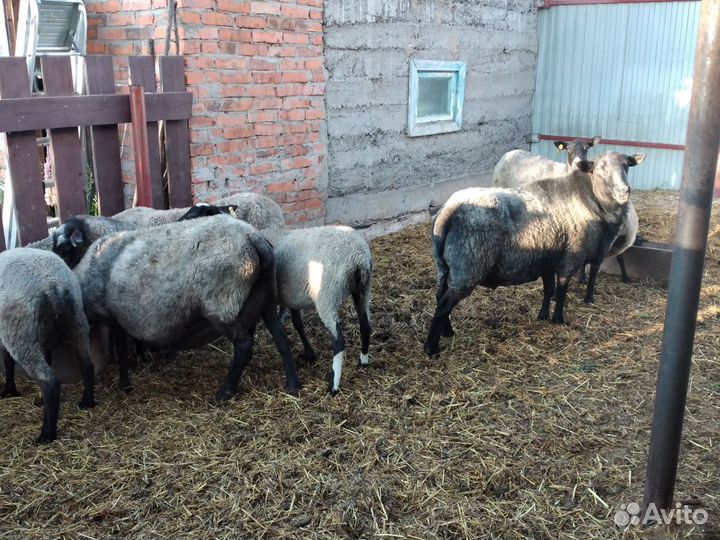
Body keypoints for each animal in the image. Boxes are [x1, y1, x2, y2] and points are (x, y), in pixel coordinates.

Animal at [0, 248, 95, 443]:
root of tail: (53, 285)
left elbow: (8, 363)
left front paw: (8, 391)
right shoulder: (45, 342)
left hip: (20, 335)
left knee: (49, 380)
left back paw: (46, 435)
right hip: (77, 324)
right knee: (87, 365)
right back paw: (86, 402)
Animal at [73, 214, 301, 399]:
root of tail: (252, 237)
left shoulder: (113, 317)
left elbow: (121, 350)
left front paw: (125, 384)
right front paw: (139, 362)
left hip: (221, 303)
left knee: (244, 345)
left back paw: (225, 391)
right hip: (266, 296)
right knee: (280, 336)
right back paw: (293, 383)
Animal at [180, 204, 372, 395]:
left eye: (194, 215)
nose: (178, 222)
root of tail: (359, 257)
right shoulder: (292, 296)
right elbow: (297, 324)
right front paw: (309, 353)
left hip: (327, 295)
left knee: (338, 341)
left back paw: (333, 385)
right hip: (362, 290)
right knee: (365, 326)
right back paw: (363, 361)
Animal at [424, 152, 645, 356]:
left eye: (627, 165)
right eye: (599, 169)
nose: (624, 191)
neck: (588, 199)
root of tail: (448, 210)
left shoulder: (547, 261)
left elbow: (548, 290)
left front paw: (543, 316)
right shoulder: (570, 260)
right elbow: (562, 292)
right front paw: (558, 320)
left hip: (444, 266)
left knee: (439, 296)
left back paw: (448, 332)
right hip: (469, 267)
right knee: (444, 304)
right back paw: (431, 348)